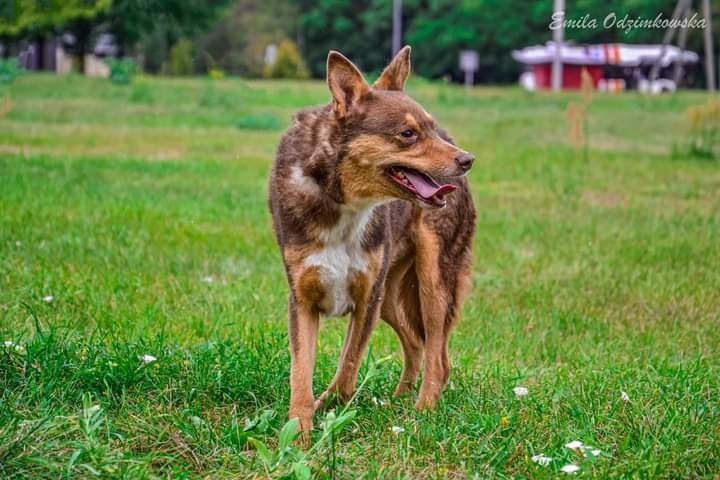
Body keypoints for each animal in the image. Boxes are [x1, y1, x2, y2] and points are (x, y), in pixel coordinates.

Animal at [268, 47, 476, 436]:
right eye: (407, 133)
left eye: (428, 127)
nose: (467, 160)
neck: (345, 203)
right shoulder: (302, 299)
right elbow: (300, 373)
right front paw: (299, 432)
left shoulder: (367, 298)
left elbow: (347, 367)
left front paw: (329, 409)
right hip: (391, 297)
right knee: (417, 343)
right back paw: (398, 400)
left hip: (431, 281)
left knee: (438, 356)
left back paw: (422, 413)